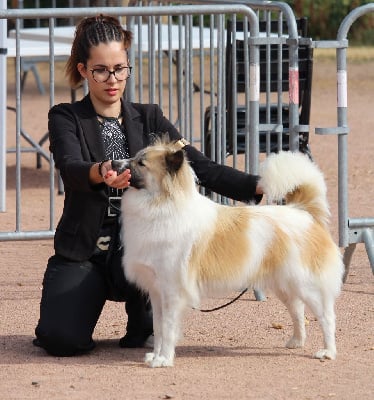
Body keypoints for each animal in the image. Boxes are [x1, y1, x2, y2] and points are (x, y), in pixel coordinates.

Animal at [112, 142, 344, 368]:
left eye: (141, 163)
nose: (113, 163)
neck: (162, 204)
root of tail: (304, 212)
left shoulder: (172, 291)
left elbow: (168, 329)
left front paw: (164, 360)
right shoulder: (157, 292)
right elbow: (159, 328)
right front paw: (156, 355)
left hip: (307, 285)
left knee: (327, 317)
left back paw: (328, 352)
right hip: (285, 284)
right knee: (298, 311)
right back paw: (296, 341)